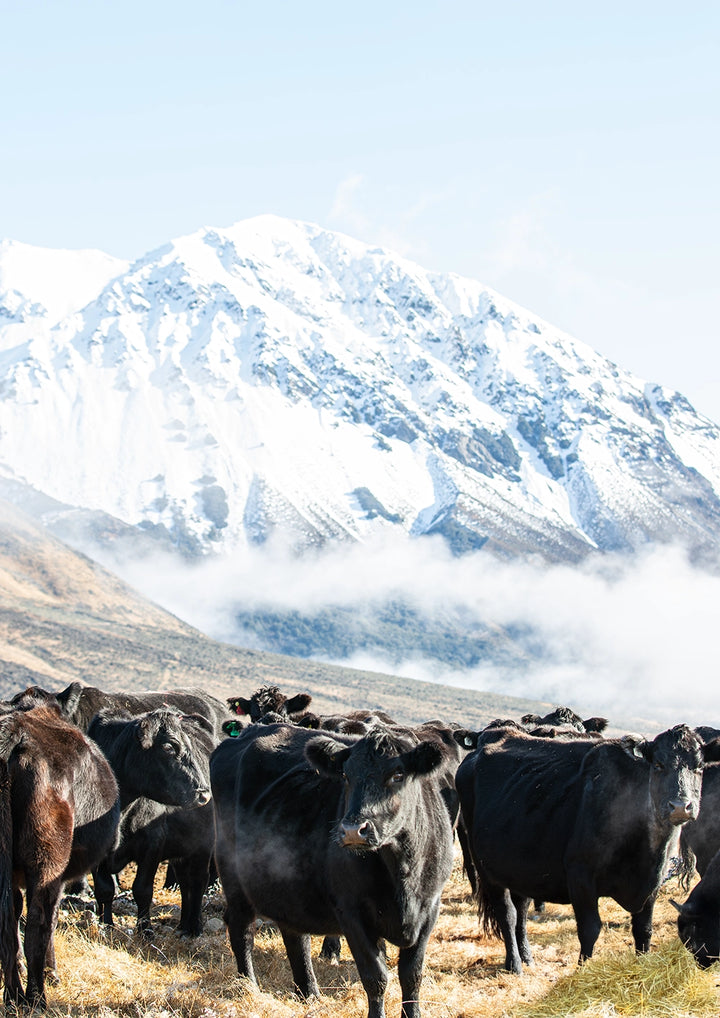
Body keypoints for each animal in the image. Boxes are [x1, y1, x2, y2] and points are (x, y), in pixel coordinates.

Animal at [0, 703, 120, 1009]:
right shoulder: (59, 877)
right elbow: (52, 918)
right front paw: (51, 973)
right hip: (47, 862)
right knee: (38, 923)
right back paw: (36, 999)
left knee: (9, 926)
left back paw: (13, 996)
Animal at [211, 722, 455, 1018]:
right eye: (346, 776)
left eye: (398, 774)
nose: (352, 830)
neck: (403, 871)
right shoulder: (351, 911)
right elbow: (376, 978)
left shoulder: (430, 908)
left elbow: (412, 976)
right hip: (233, 874)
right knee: (241, 929)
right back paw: (249, 986)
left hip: (286, 883)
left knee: (295, 935)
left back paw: (309, 993)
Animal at [455, 723, 717, 973]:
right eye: (659, 764)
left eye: (699, 767)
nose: (680, 806)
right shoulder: (580, 877)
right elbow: (590, 929)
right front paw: (582, 971)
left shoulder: (652, 884)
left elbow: (643, 930)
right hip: (485, 867)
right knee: (506, 914)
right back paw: (514, 964)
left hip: (518, 868)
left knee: (521, 911)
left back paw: (527, 957)